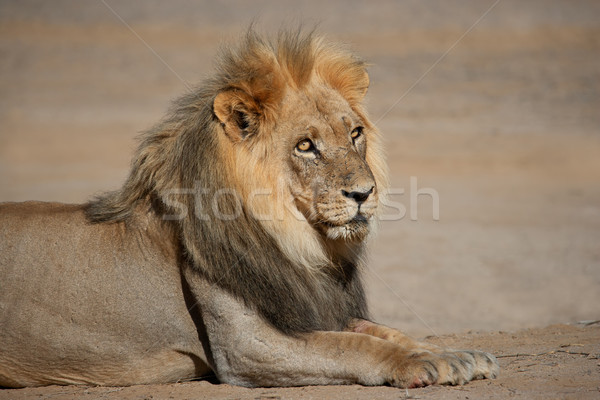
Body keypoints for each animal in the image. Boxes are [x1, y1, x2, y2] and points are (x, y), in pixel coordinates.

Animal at [0, 30, 496, 388]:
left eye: (355, 133)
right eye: (305, 146)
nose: (364, 192)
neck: (303, 246)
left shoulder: (314, 308)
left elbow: (385, 332)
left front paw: (454, 355)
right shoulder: (246, 348)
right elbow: (352, 348)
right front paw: (422, 365)